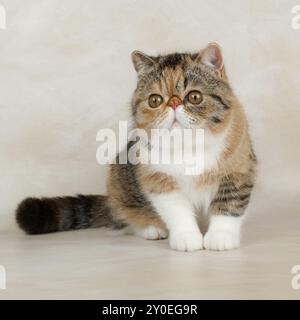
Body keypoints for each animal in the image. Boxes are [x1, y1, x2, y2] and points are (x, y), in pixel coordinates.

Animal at [15, 43, 255, 252]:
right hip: (118, 180)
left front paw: (221, 237)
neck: (187, 145)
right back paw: (150, 228)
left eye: (194, 97)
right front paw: (187, 237)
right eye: (155, 100)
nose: (173, 104)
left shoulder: (239, 170)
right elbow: (177, 211)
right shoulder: (157, 179)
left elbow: (229, 205)